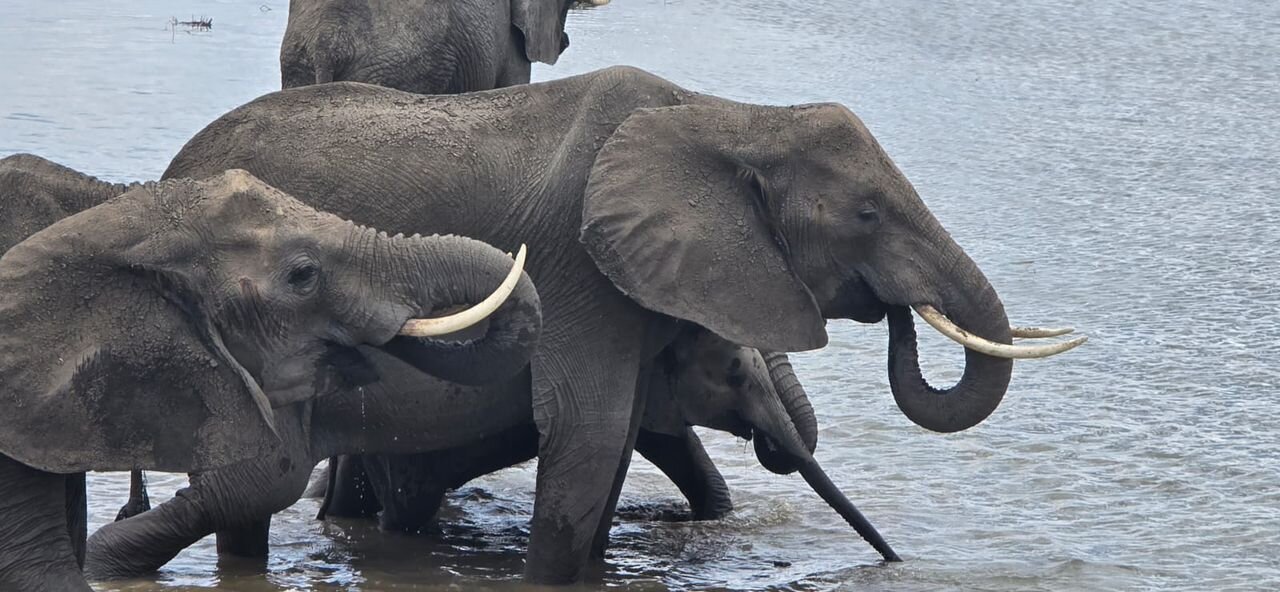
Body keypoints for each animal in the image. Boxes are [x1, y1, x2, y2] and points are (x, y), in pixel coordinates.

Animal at [157, 66, 1085, 584]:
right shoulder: (575, 263)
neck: (729, 115)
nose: (900, 314)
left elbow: (625, 435)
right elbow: (592, 430)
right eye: (865, 214)